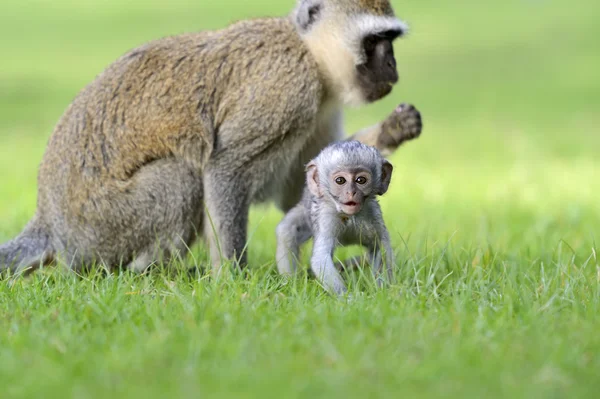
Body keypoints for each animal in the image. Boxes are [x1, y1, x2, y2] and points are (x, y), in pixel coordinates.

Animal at [0, 0, 422, 276]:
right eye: (375, 40)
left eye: (391, 40)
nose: (393, 64)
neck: (309, 54)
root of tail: (49, 220)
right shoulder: (285, 88)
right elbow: (226, 168)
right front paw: (234, 278)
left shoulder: (320, 107)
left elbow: (305, 185)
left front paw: (393, 129)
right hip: (99, 224)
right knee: (180, 177)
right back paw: (148, 271)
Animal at [276, 141, 394, 296]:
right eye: (340, 180)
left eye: (361, 180)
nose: (351, 192)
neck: (350, 217)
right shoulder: (327, 216)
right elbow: (321, 258)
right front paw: (349, 297)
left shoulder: (373, 214)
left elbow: (379, 247)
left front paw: (384, 293)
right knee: (287, 231)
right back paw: (290, 282)